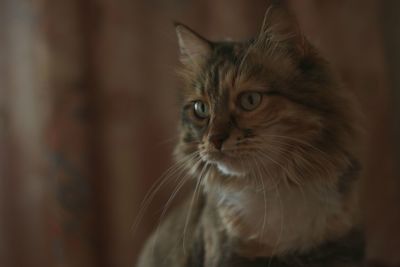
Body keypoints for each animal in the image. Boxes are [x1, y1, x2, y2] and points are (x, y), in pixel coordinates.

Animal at [137, 4, 362, 267]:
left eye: (250, 100)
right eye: (201, 109)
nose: (214, 139)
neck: (274, 187)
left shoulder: (343, 247)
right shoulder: (229, 254)